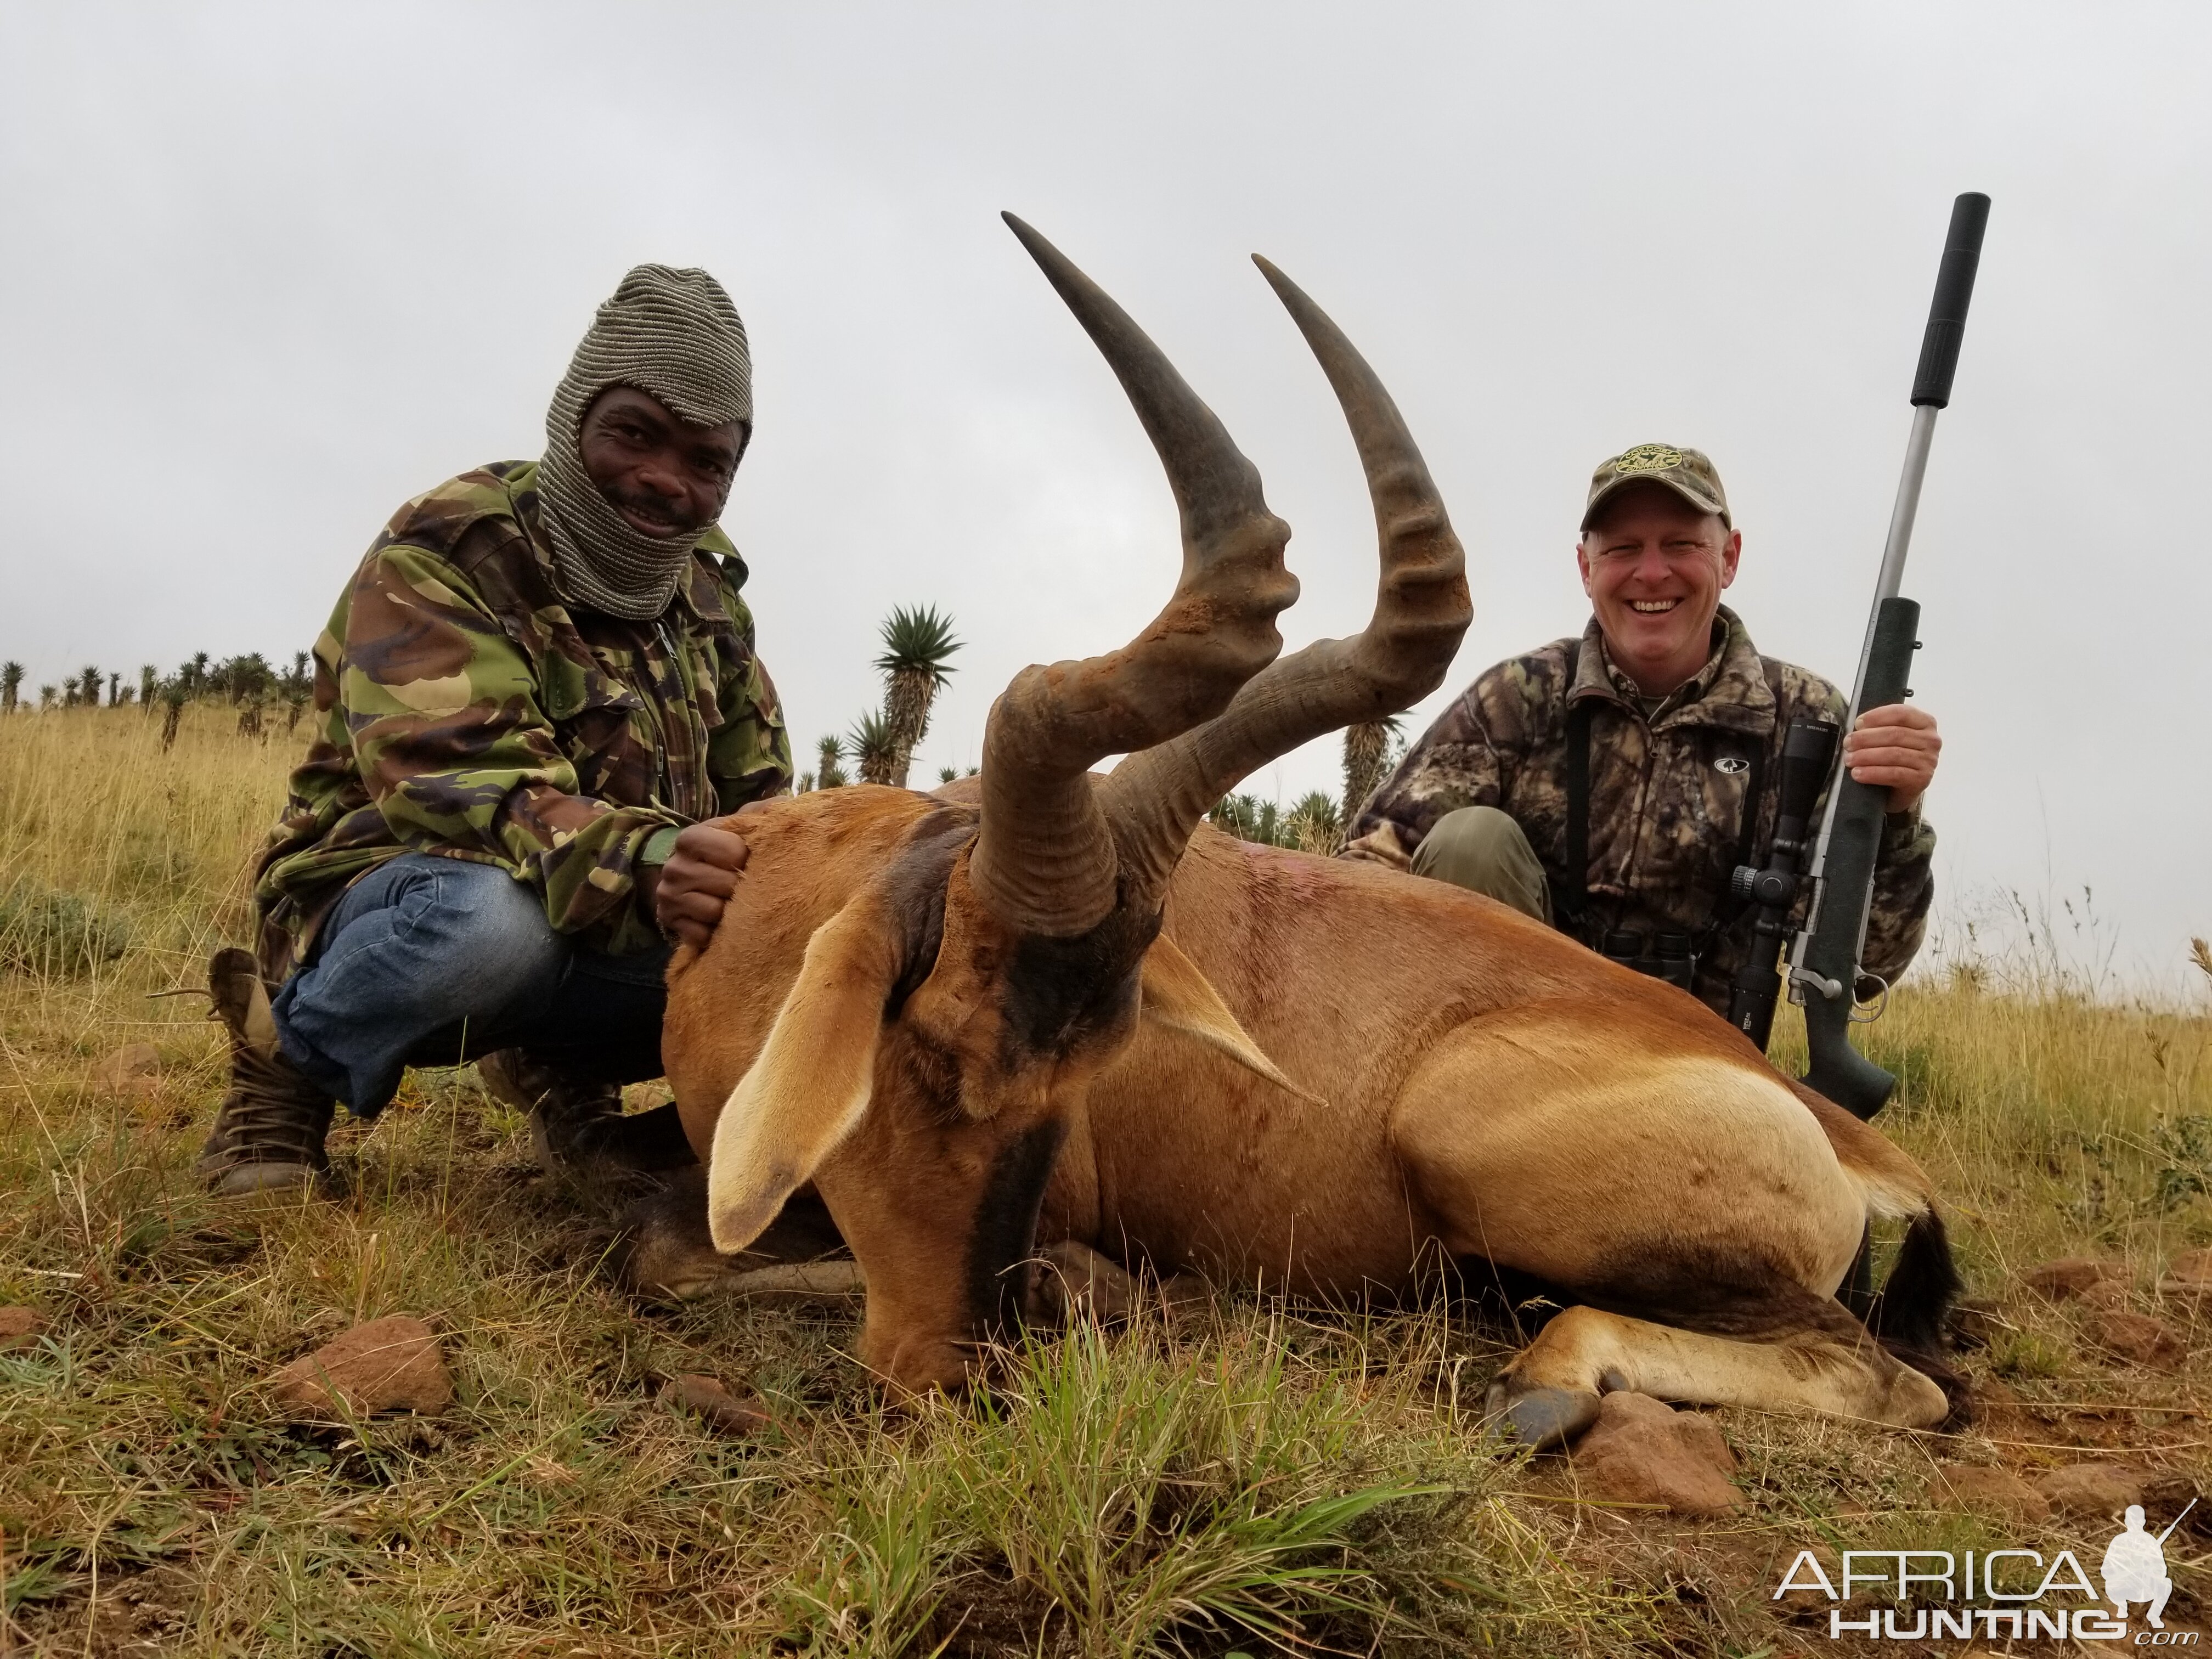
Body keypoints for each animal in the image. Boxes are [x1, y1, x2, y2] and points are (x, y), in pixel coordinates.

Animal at [650, 215, 1955, 1451]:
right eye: (931, 1044)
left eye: (1088, 1066)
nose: (953, 1376)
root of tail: (1848, 1141)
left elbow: (678, 1262)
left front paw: (1102, 1290)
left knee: (1891, 1376)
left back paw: (1536, 1388)